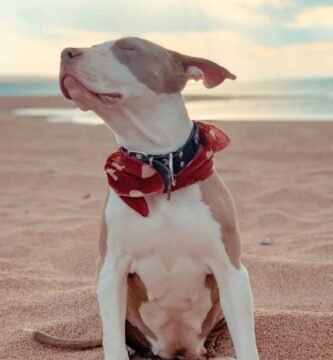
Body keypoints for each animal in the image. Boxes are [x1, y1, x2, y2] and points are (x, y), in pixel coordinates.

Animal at [30, 36, 260, 360]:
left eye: (128, 47)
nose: (66, 53)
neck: (159, 172)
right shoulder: (110, 272)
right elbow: (113, 343)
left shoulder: (232, 272)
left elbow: (246, 343)